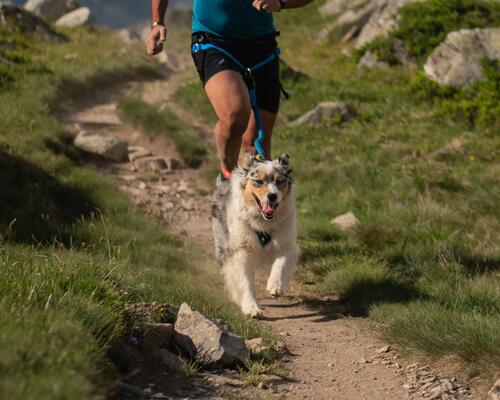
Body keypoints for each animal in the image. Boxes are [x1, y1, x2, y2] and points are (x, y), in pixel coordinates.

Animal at [210, 152, 296, 318]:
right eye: (259, 182)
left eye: (280, 181)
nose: (272, 196)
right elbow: (245, 280)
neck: (262, 222)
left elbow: (281, 263)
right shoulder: (241, 249)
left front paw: (275, 286)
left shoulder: (286, 242)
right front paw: (251, 307)